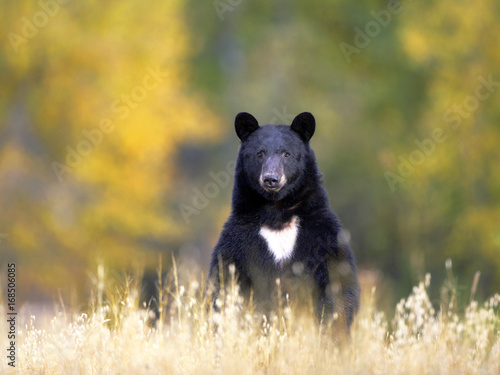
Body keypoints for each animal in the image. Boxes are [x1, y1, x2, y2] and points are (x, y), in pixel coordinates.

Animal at [207, 111, 360, 332]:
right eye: (260, 153)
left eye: (286, 154)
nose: (271, 179)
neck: (277, 213)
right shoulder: (238, 238)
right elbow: (225, 281)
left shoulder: (321, 232)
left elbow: (337, 281)